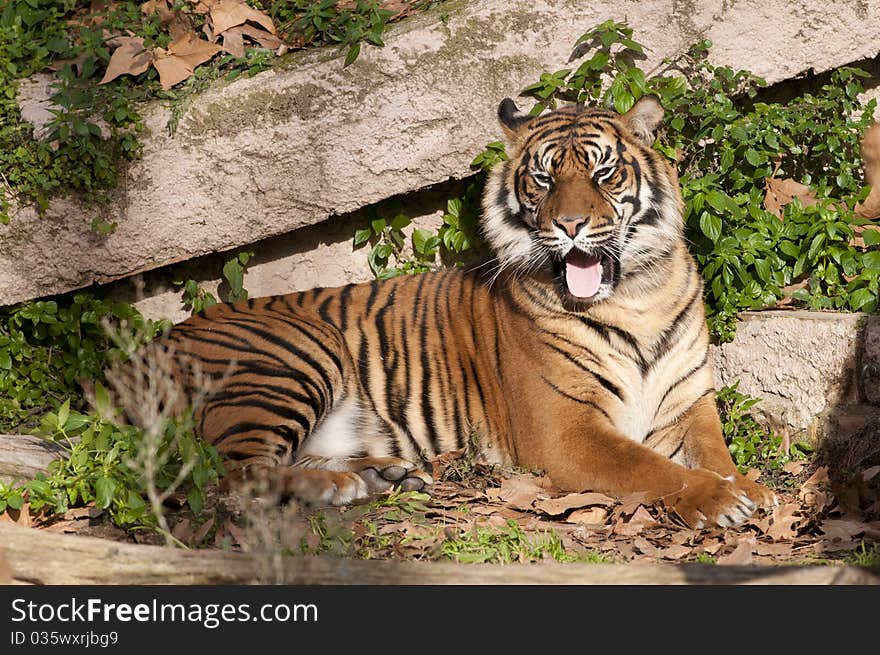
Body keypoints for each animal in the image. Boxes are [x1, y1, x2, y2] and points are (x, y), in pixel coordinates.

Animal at [106, 96, 772, 528]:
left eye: (604, 172)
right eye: (542, 179)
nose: (570, 225)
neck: (636, 296)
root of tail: (129, 361)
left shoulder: (689, 401)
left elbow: (716, 453)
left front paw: (752, 489)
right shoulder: (567, 432)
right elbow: (651, 468)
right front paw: (718, 499)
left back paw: (381, 477)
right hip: (289, 357)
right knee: (232, 479)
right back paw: (345, 484)